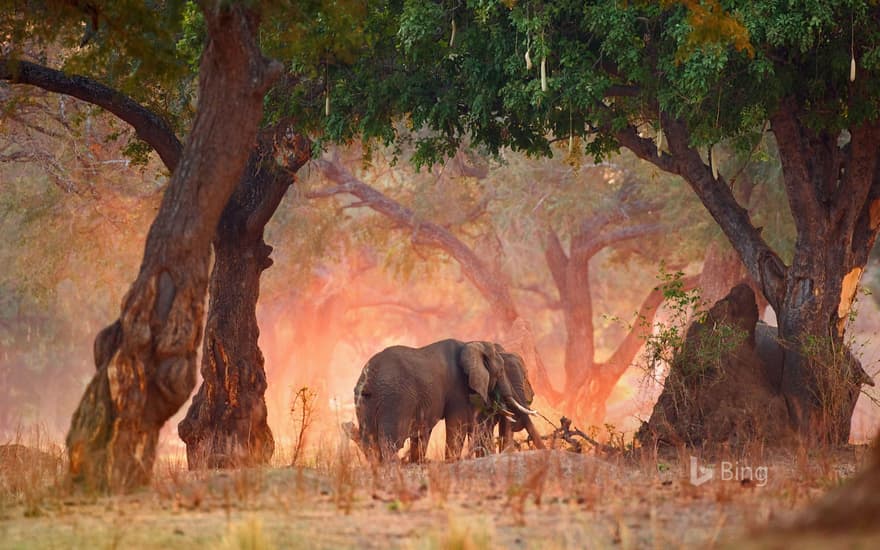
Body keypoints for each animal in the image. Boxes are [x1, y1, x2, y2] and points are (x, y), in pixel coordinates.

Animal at [346, 338, 540, 464]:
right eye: (500, 373)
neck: (471, 344)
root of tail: (370, 376)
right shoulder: (457, 388)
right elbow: (457, 423)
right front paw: (451, 461)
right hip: (395, 399)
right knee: (392, 441)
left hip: (365, 401)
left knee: (369, 439)